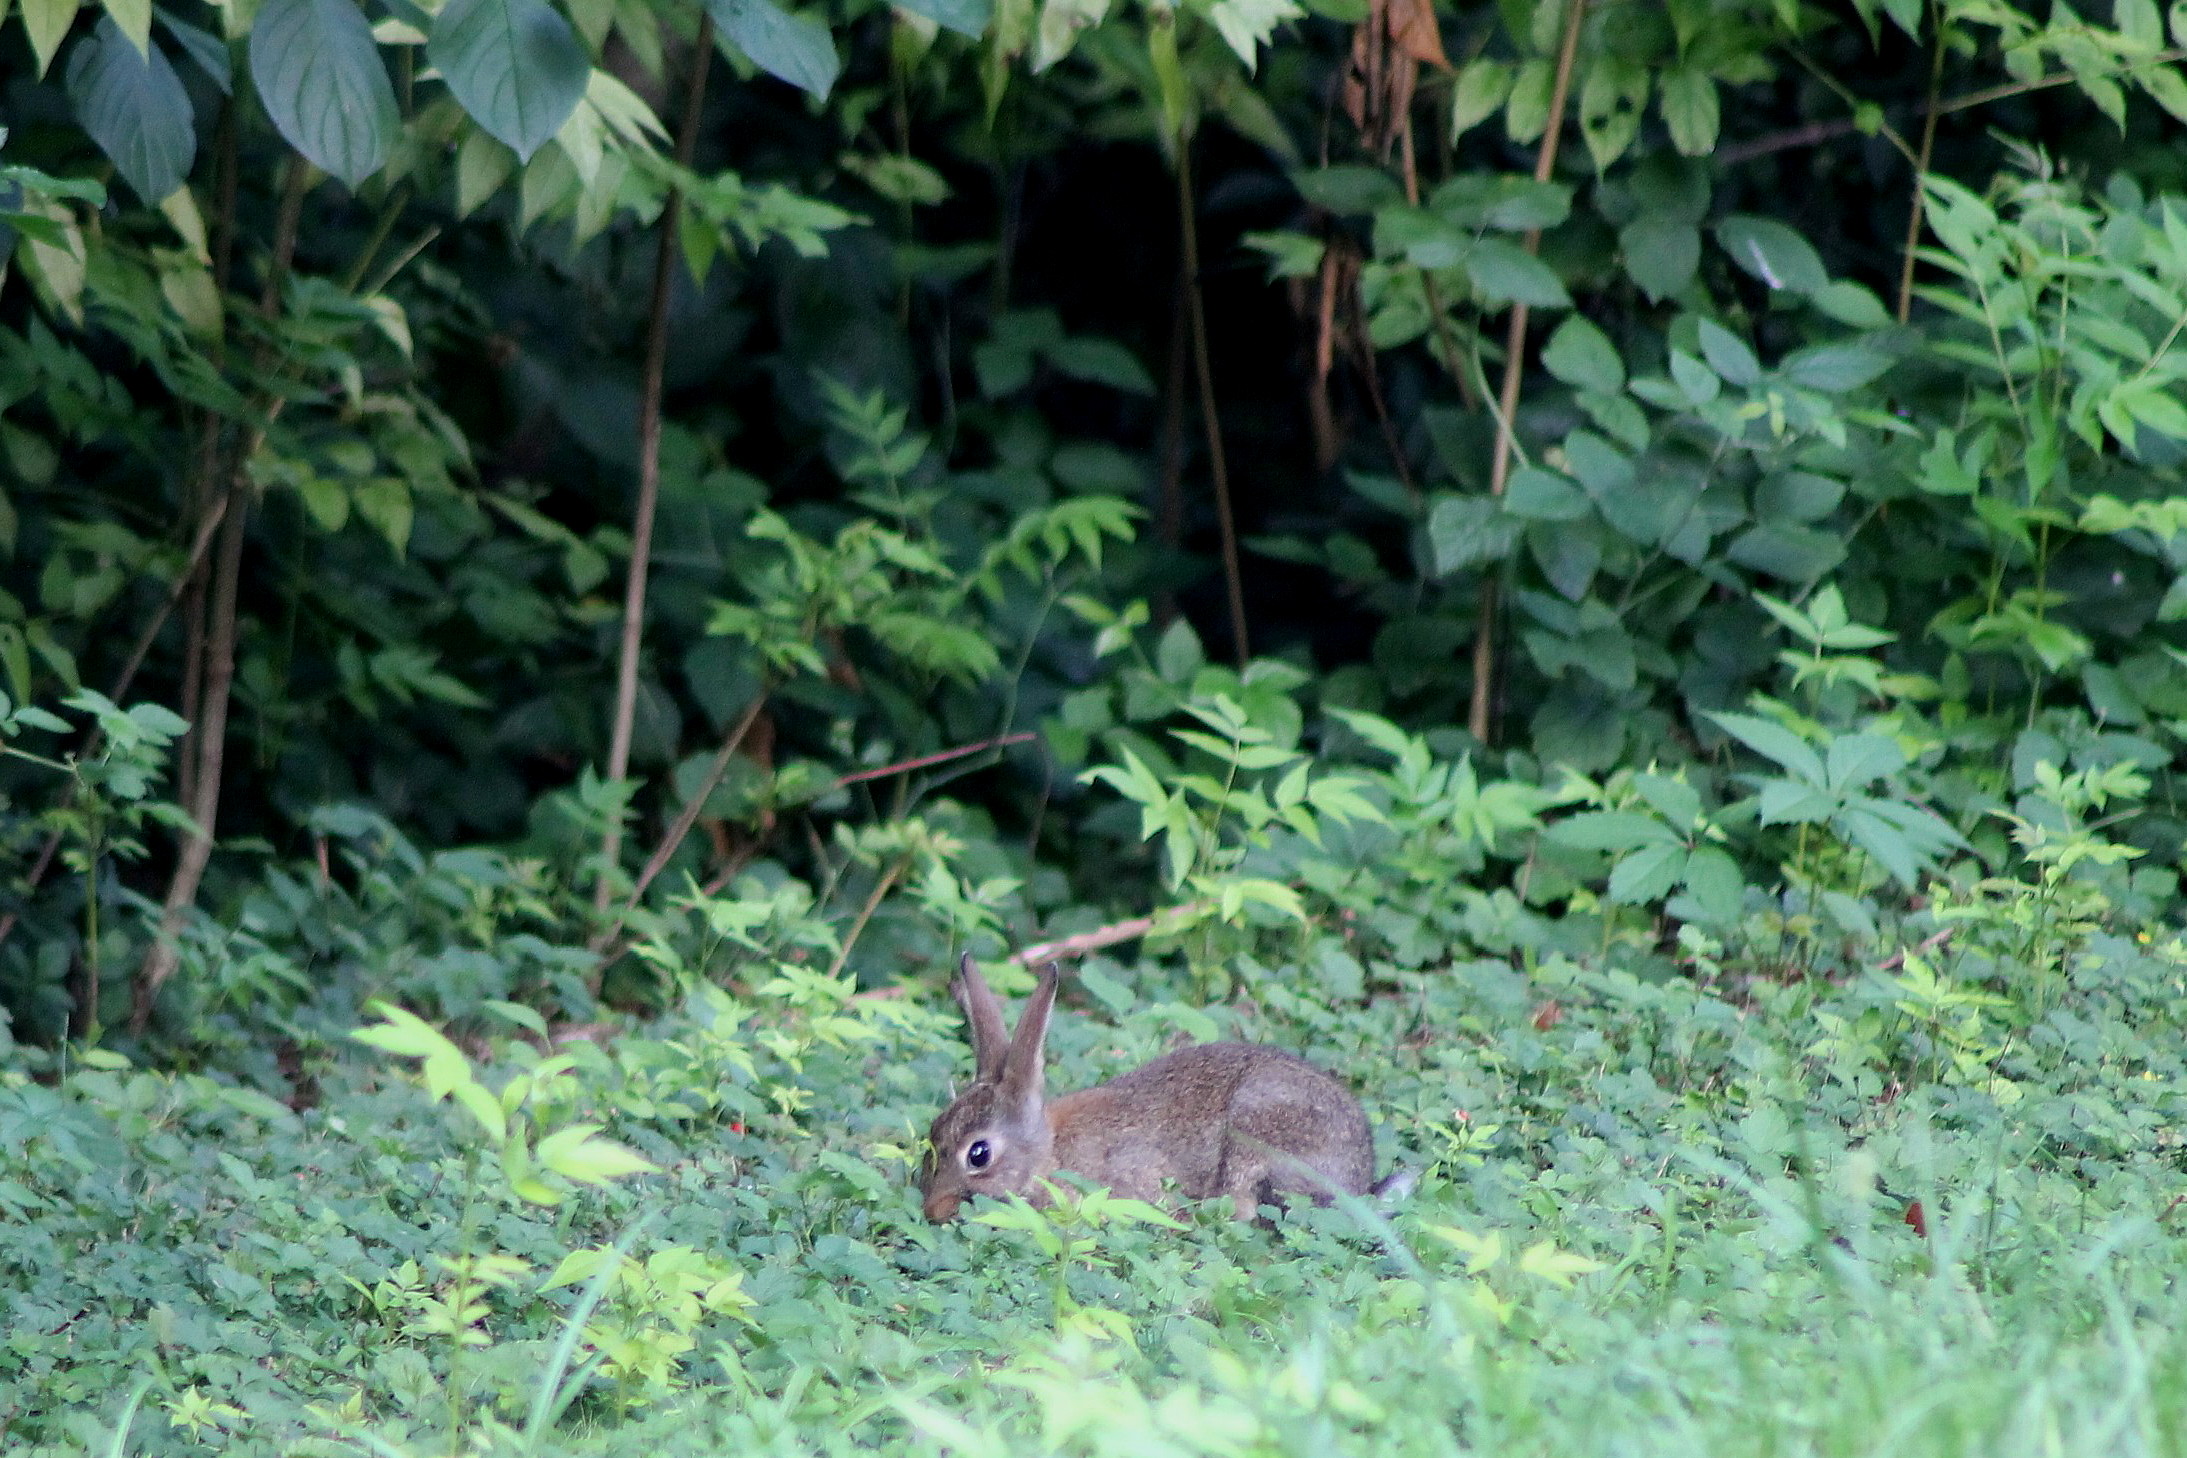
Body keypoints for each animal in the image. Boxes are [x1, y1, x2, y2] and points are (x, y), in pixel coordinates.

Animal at [919, 953, 1405, 1222]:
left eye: (978, 1154)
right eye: (933, 1135)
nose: (932, 1209)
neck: (1047, 1153)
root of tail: (1360, 1179)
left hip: (1259, 1135)